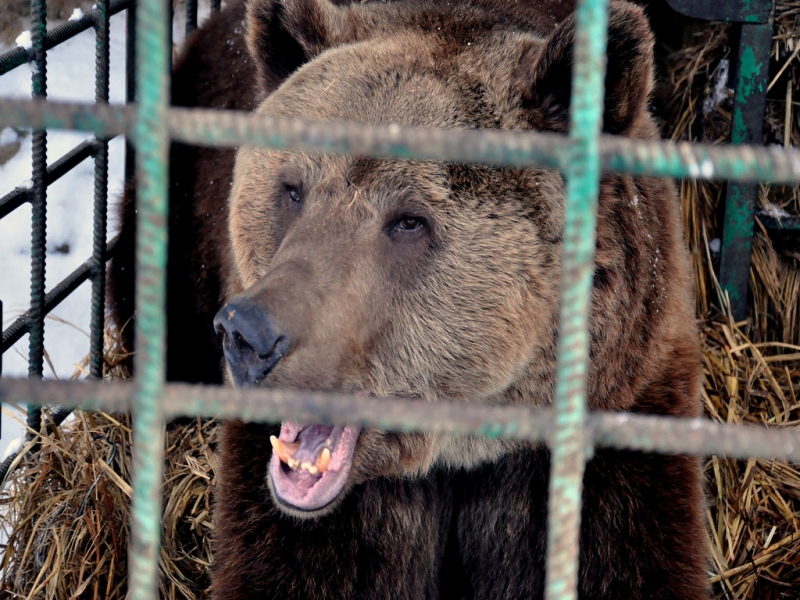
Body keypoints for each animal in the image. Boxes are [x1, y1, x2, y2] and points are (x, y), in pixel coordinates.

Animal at [111, 0, 708, 596]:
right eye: (293, 189)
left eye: (408, 220)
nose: (248, 333)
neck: (462, 450)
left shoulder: (619, 415)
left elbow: (618, 554)